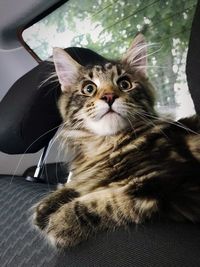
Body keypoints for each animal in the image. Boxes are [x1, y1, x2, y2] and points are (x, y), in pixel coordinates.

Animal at [33, 34, 200, 249]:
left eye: (124, 84)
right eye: (89, 88)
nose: (109, 96)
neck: (107, 145)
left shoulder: (165, 180)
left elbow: (106, 199)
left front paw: (62, 220)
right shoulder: (93, 174)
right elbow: (78, 185)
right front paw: (46, 206)